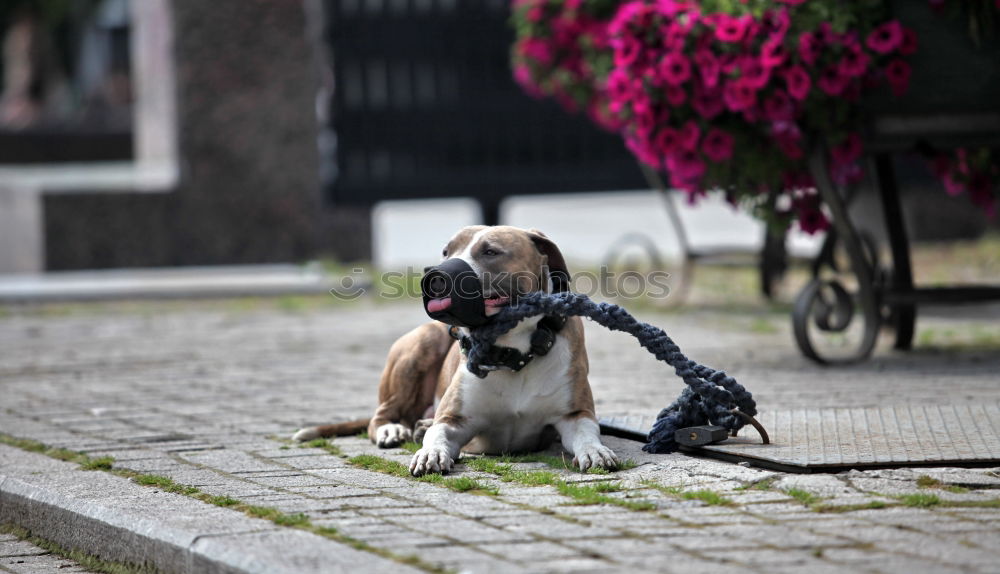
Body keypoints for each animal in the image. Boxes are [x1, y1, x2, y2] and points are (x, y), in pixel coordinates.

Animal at [292, 227, 616, 480]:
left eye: (490, 251)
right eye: (446, 252)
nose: (435, 276)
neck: (513, 353)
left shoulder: (574, 414)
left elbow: (587, 433)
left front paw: (596, 451)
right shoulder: (453, 418)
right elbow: (438, 434)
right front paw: (430, 452)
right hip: (422, 343)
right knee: (381, 416)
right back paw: (394, 430)